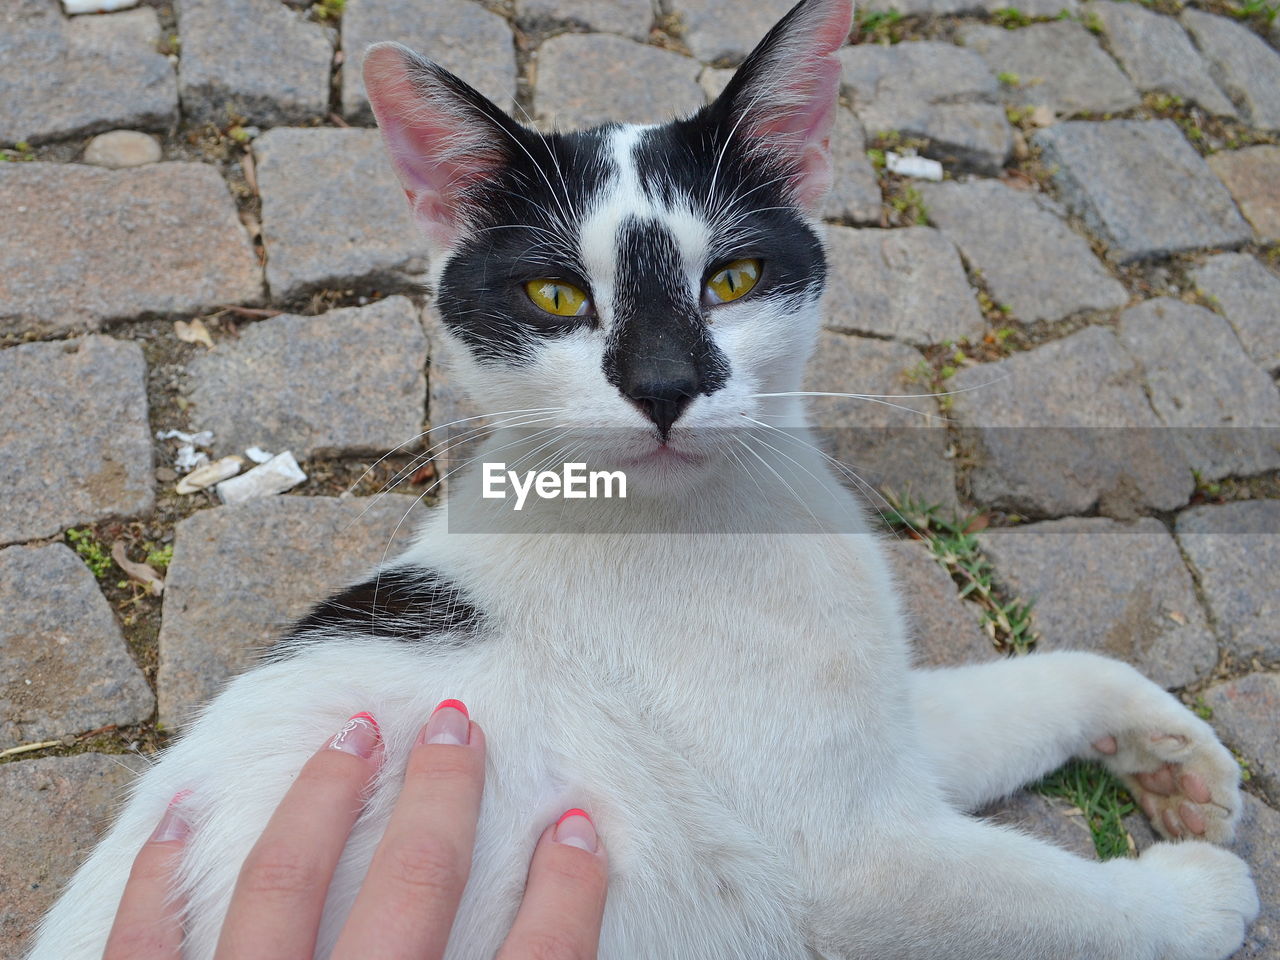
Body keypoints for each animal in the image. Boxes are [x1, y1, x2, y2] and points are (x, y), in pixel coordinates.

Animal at [27, 0, 1259, 957]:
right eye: (558, 296)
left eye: (735, 278)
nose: (665, 384)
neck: (715, 524)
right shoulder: (855, 858)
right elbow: (1055, 903)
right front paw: (1192, 899)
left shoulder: (883, 747)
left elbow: (1030, 689)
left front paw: (1169, 754)